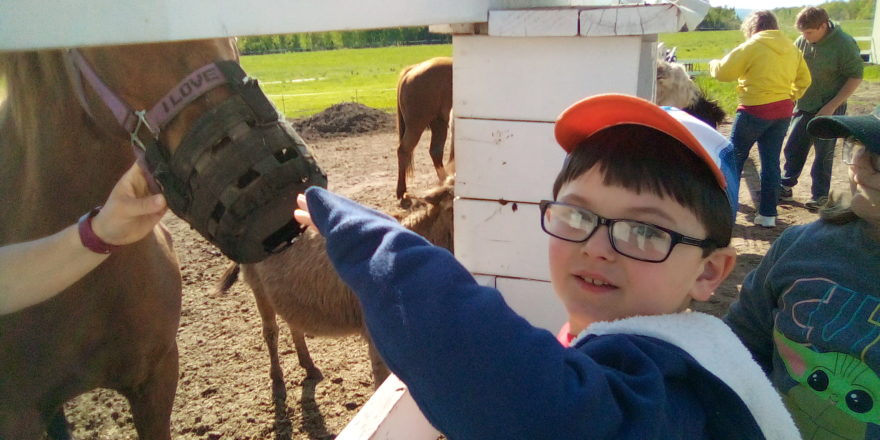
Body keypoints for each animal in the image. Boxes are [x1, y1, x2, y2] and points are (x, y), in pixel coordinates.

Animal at [398, 56, 454, 199]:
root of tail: (412, 69)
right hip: (416, 125)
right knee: (403, 150)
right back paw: (401, 191)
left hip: (438, 123)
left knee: (435, 151)